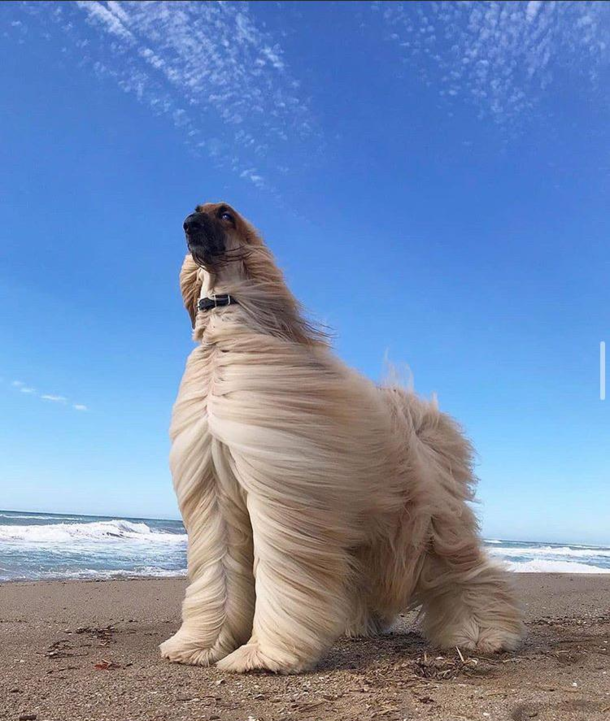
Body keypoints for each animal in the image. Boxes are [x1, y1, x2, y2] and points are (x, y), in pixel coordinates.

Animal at [158, 201, 524, 668]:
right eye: (194, 212)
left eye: (225, 214)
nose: (188, 226)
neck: (226, 340)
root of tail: (422, 420)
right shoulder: (216, 493)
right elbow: (218, 569)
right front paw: (198, 644)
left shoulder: (281, 490)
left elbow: (280, 571)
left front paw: (263, 653)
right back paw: (360, 624)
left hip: (426, 522)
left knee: (464, 567)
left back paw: (484, 633)